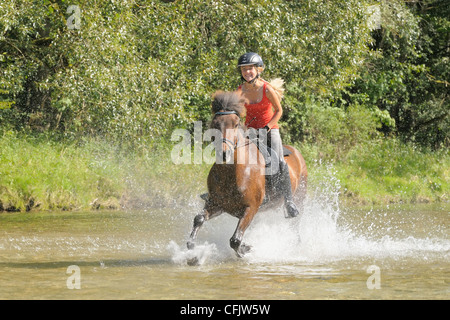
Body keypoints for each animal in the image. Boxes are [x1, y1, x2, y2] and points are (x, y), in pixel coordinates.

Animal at [185, 91, 306, 262]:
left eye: (236, 124)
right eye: (215, 124)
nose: (224, 153)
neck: (232, 173)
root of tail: (296, 153)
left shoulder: (251, 208)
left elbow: (235, 240)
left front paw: (245, 249)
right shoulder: (217, 204)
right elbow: (199, 218)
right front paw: (192, 250)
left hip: (300, 197)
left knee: (295, 225)